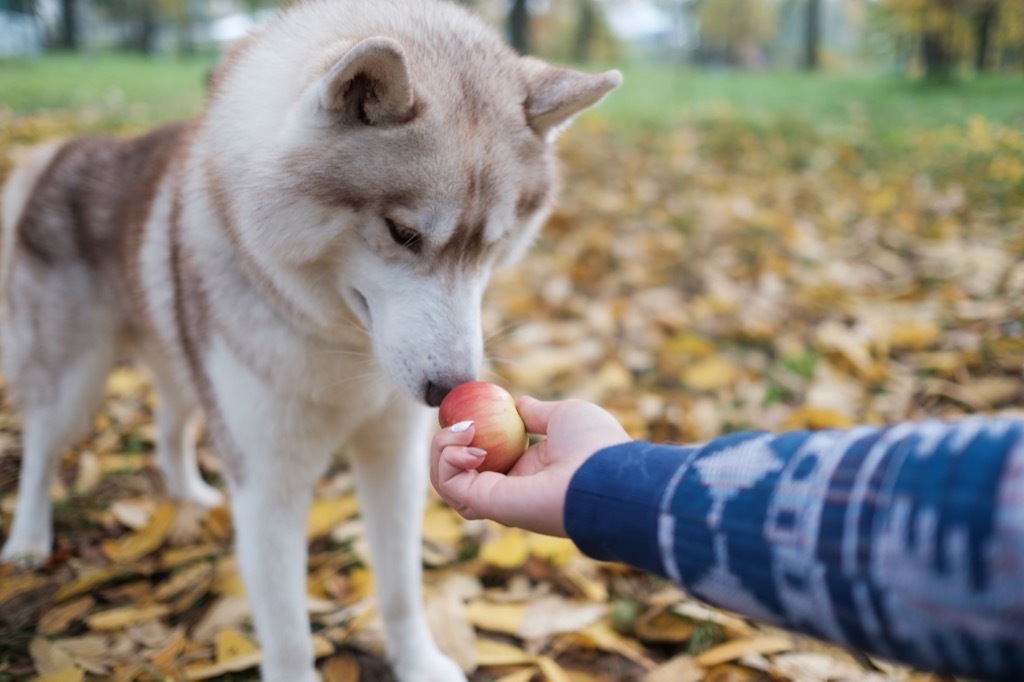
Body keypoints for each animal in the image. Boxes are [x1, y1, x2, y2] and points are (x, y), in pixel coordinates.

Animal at [0, 0, 618, 675]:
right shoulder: (269, 484)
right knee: (42, 449)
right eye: (403, 233)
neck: (342, 347)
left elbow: (400, 586)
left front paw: (417, 663)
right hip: (74, 384)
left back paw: (191, 494)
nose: (451, 389)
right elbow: (290, 632)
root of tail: (61, 151)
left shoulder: (393, 457)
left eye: (493, 244)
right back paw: (28, 538)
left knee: (169, 426)